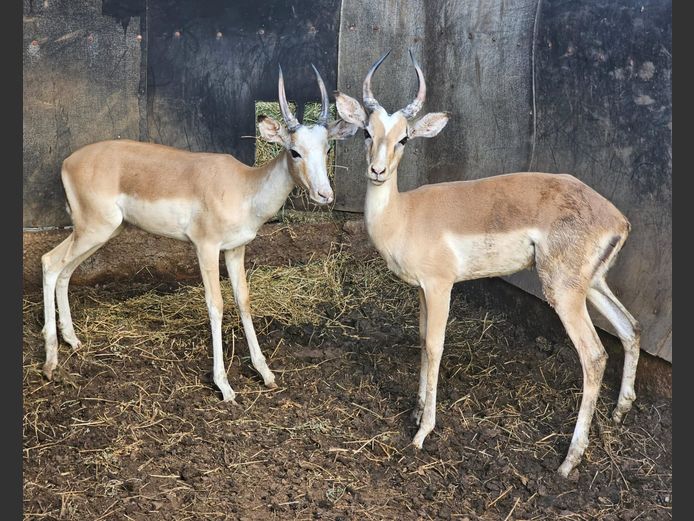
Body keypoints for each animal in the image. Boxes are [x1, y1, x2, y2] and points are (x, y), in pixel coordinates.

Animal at [41, 65, 358, 402]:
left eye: (327, 148)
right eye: (295, 151)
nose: (325, 195)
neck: (244, 187)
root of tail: (68, 162)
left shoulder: (235, 249)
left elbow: (243, 299)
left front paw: (265, 373)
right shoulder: (206, 247)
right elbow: (215, 304)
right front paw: (224, 385)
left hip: (100, 232)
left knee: (65, 271)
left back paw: (72, 340)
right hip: (93, 229)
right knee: (50, 262)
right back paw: (50, 362)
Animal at [334, 51, 641, 476]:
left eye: (404, 138)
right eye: (366, 131)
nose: (377, 171)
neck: (404, 214)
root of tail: (617, 218)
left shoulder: (441, 286)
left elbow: (435, 346)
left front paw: (422, 432)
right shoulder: (422, 291)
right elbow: (422, 340)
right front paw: (415, 412)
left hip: (563, 293)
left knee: (594, 356)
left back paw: (568, 462)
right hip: (591, 286)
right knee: (630, 327)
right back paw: (620, 411)